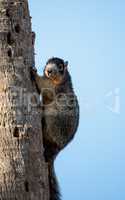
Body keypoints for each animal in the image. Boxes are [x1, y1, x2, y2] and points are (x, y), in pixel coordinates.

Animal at [31, 57, 79, 200]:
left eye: (61, 66)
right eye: (47, 62)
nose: (48, 70)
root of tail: (57, 148)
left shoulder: (54, 87)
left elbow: (43, 85)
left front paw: (34, 73)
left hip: (53, 120)